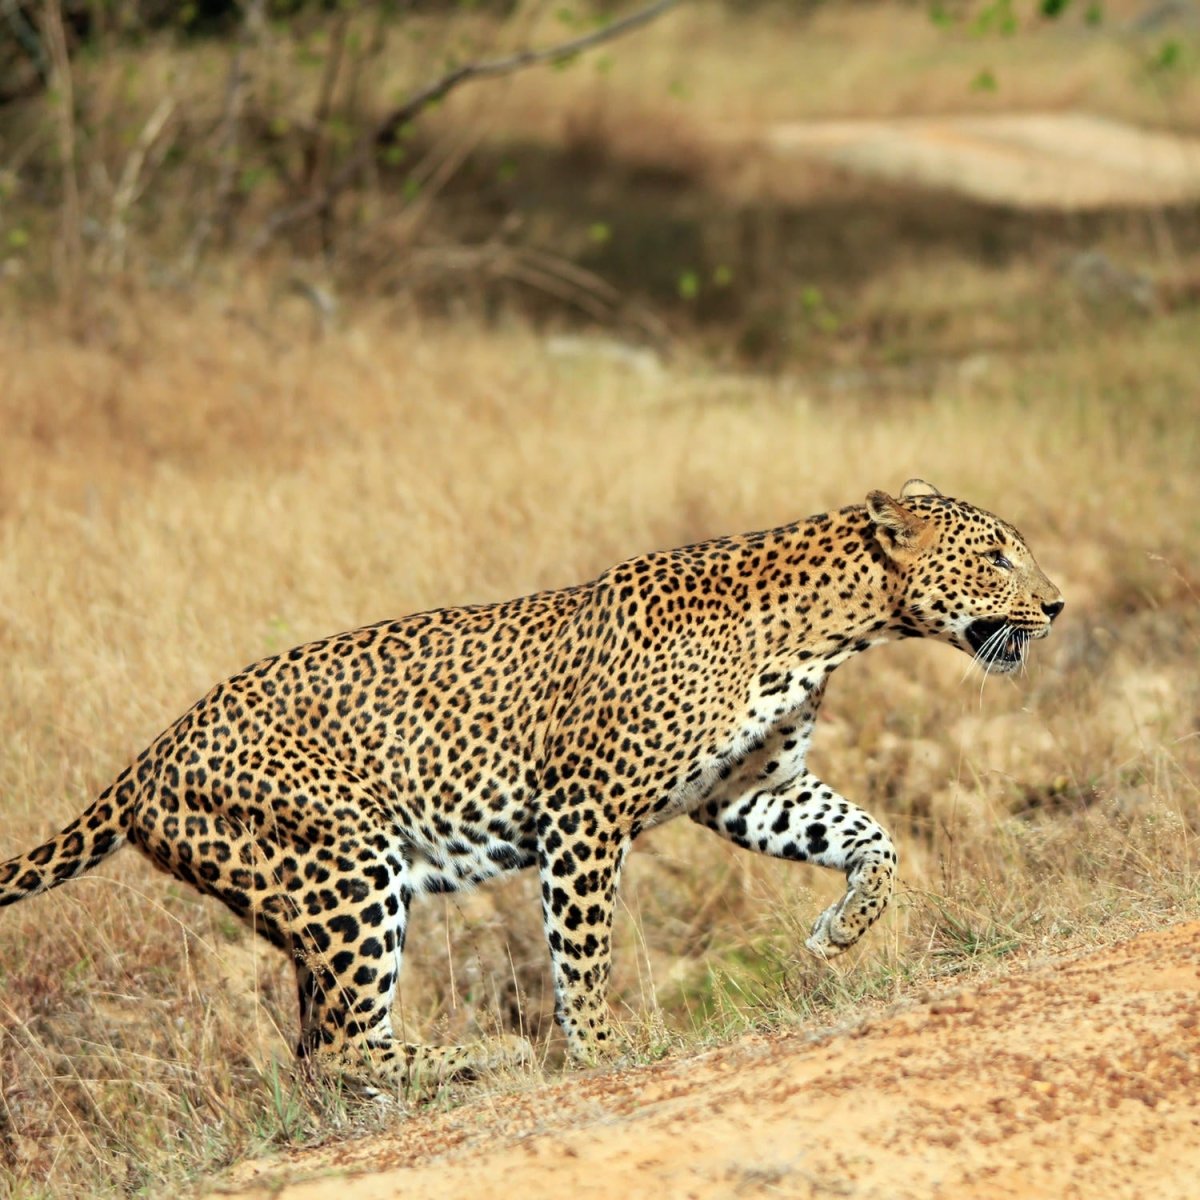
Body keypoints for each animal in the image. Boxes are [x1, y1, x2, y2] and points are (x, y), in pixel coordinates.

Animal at [2, 477, 1070, 1089]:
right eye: (997, 555)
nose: (1058, 605)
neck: (828, 630)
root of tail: (150, 753)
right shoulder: (585, 813)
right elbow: (583, 950)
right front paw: (602, 1047)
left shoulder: (747, 790)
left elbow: (869, 838)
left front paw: (843, 929)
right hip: (347, 869)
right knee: (344, 1038)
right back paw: (483, 1056)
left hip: (307, 899)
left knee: (320, 1051)